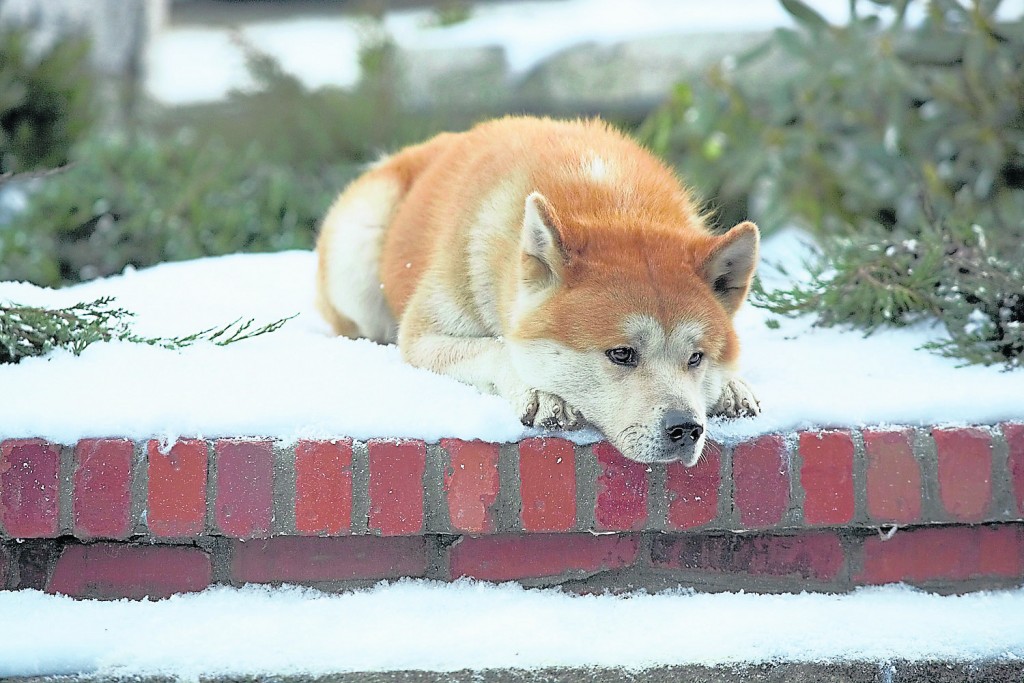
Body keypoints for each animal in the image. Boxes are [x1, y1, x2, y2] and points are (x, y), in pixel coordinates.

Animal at [315, 117, 757, 466]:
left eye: (696, 358)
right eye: (621, 354)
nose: (686, 428)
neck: (613, 205)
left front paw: (731, 387)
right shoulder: (422, 337)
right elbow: (496, 349)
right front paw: (542, 394)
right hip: (358, 249)